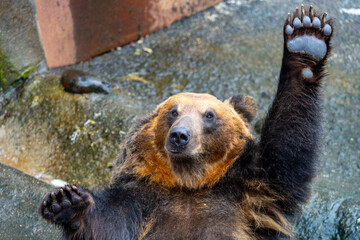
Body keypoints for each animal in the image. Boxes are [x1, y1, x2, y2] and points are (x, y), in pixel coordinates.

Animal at [38, 5, 332, 240]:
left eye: (209, 115)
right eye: (173, 111)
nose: (180, 135)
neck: (189, 184)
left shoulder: (252, 192)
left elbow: (286, 154)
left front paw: (306, 39)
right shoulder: (144, 200)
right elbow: (108, 223)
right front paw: (66, 201)